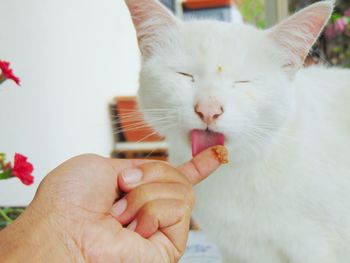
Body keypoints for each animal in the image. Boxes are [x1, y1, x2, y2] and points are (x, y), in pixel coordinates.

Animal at [123, 1, 350, 262]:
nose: (208, 110)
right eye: (185, 75)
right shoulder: (236, 251)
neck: (236, 171)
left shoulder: (317, 249)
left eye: (243, 82)